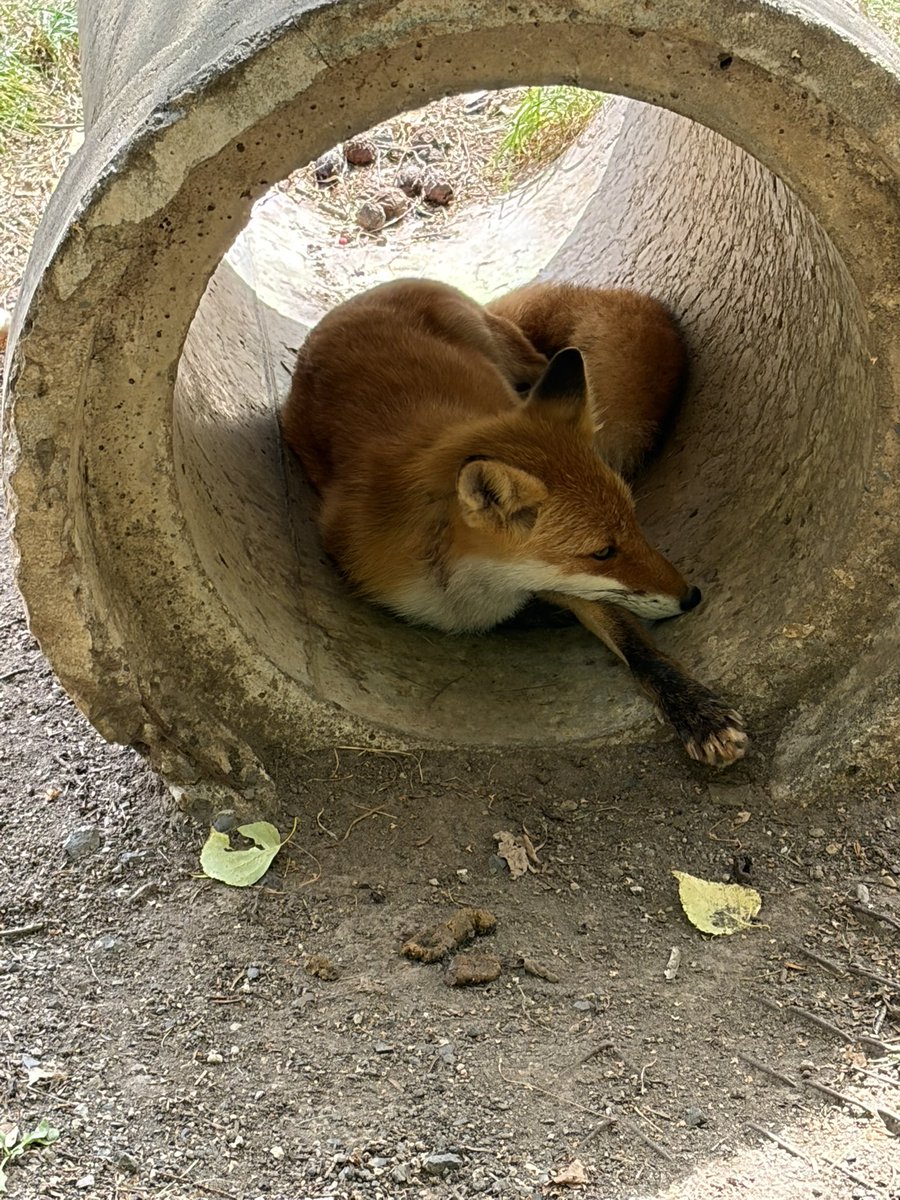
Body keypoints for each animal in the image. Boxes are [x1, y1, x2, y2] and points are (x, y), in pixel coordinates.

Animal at [281, 278, 747, 767]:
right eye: (603, 551)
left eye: (635, 522)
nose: (691, 596)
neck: (470, 586)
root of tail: (358, 301)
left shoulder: (566, 584)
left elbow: (636, 646)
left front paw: (695, 710)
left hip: (513, 352)